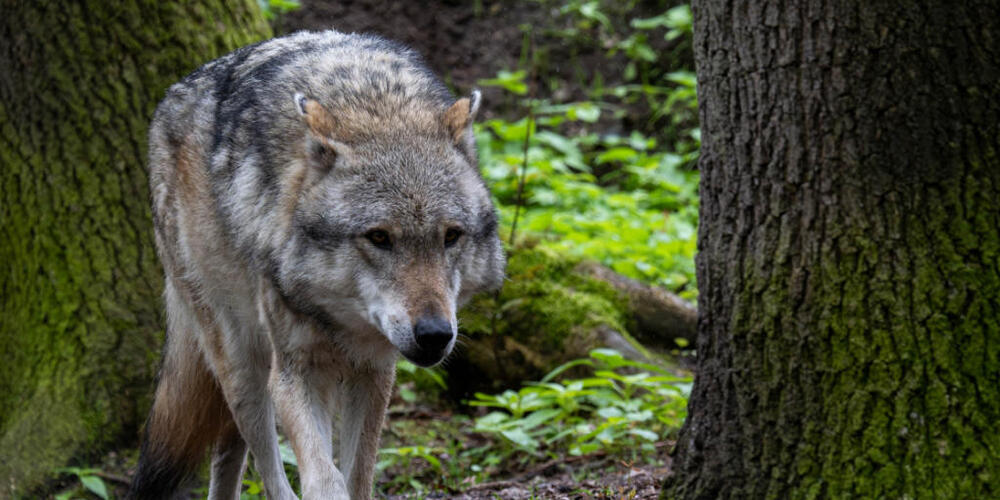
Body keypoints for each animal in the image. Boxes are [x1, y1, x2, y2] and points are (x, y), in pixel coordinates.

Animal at [127, 30, 505, 500]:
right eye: (379, 237)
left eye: (451, 236)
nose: (435, 334)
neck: (372, 104)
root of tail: (172, 97)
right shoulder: (296, 372)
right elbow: (325, 479)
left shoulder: (375, 372)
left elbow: (358, 475)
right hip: (242, 364)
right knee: (267, 467)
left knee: (228, 454)